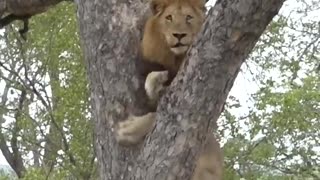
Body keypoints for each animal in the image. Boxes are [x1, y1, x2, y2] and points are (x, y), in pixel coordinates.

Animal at [115, 0, 222, 179]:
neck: (174, 58)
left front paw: (127, 130)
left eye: (188, 17)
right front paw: (157, 80)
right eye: (169, 17)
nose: (179, 35)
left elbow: (158, 113)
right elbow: (151, 87)